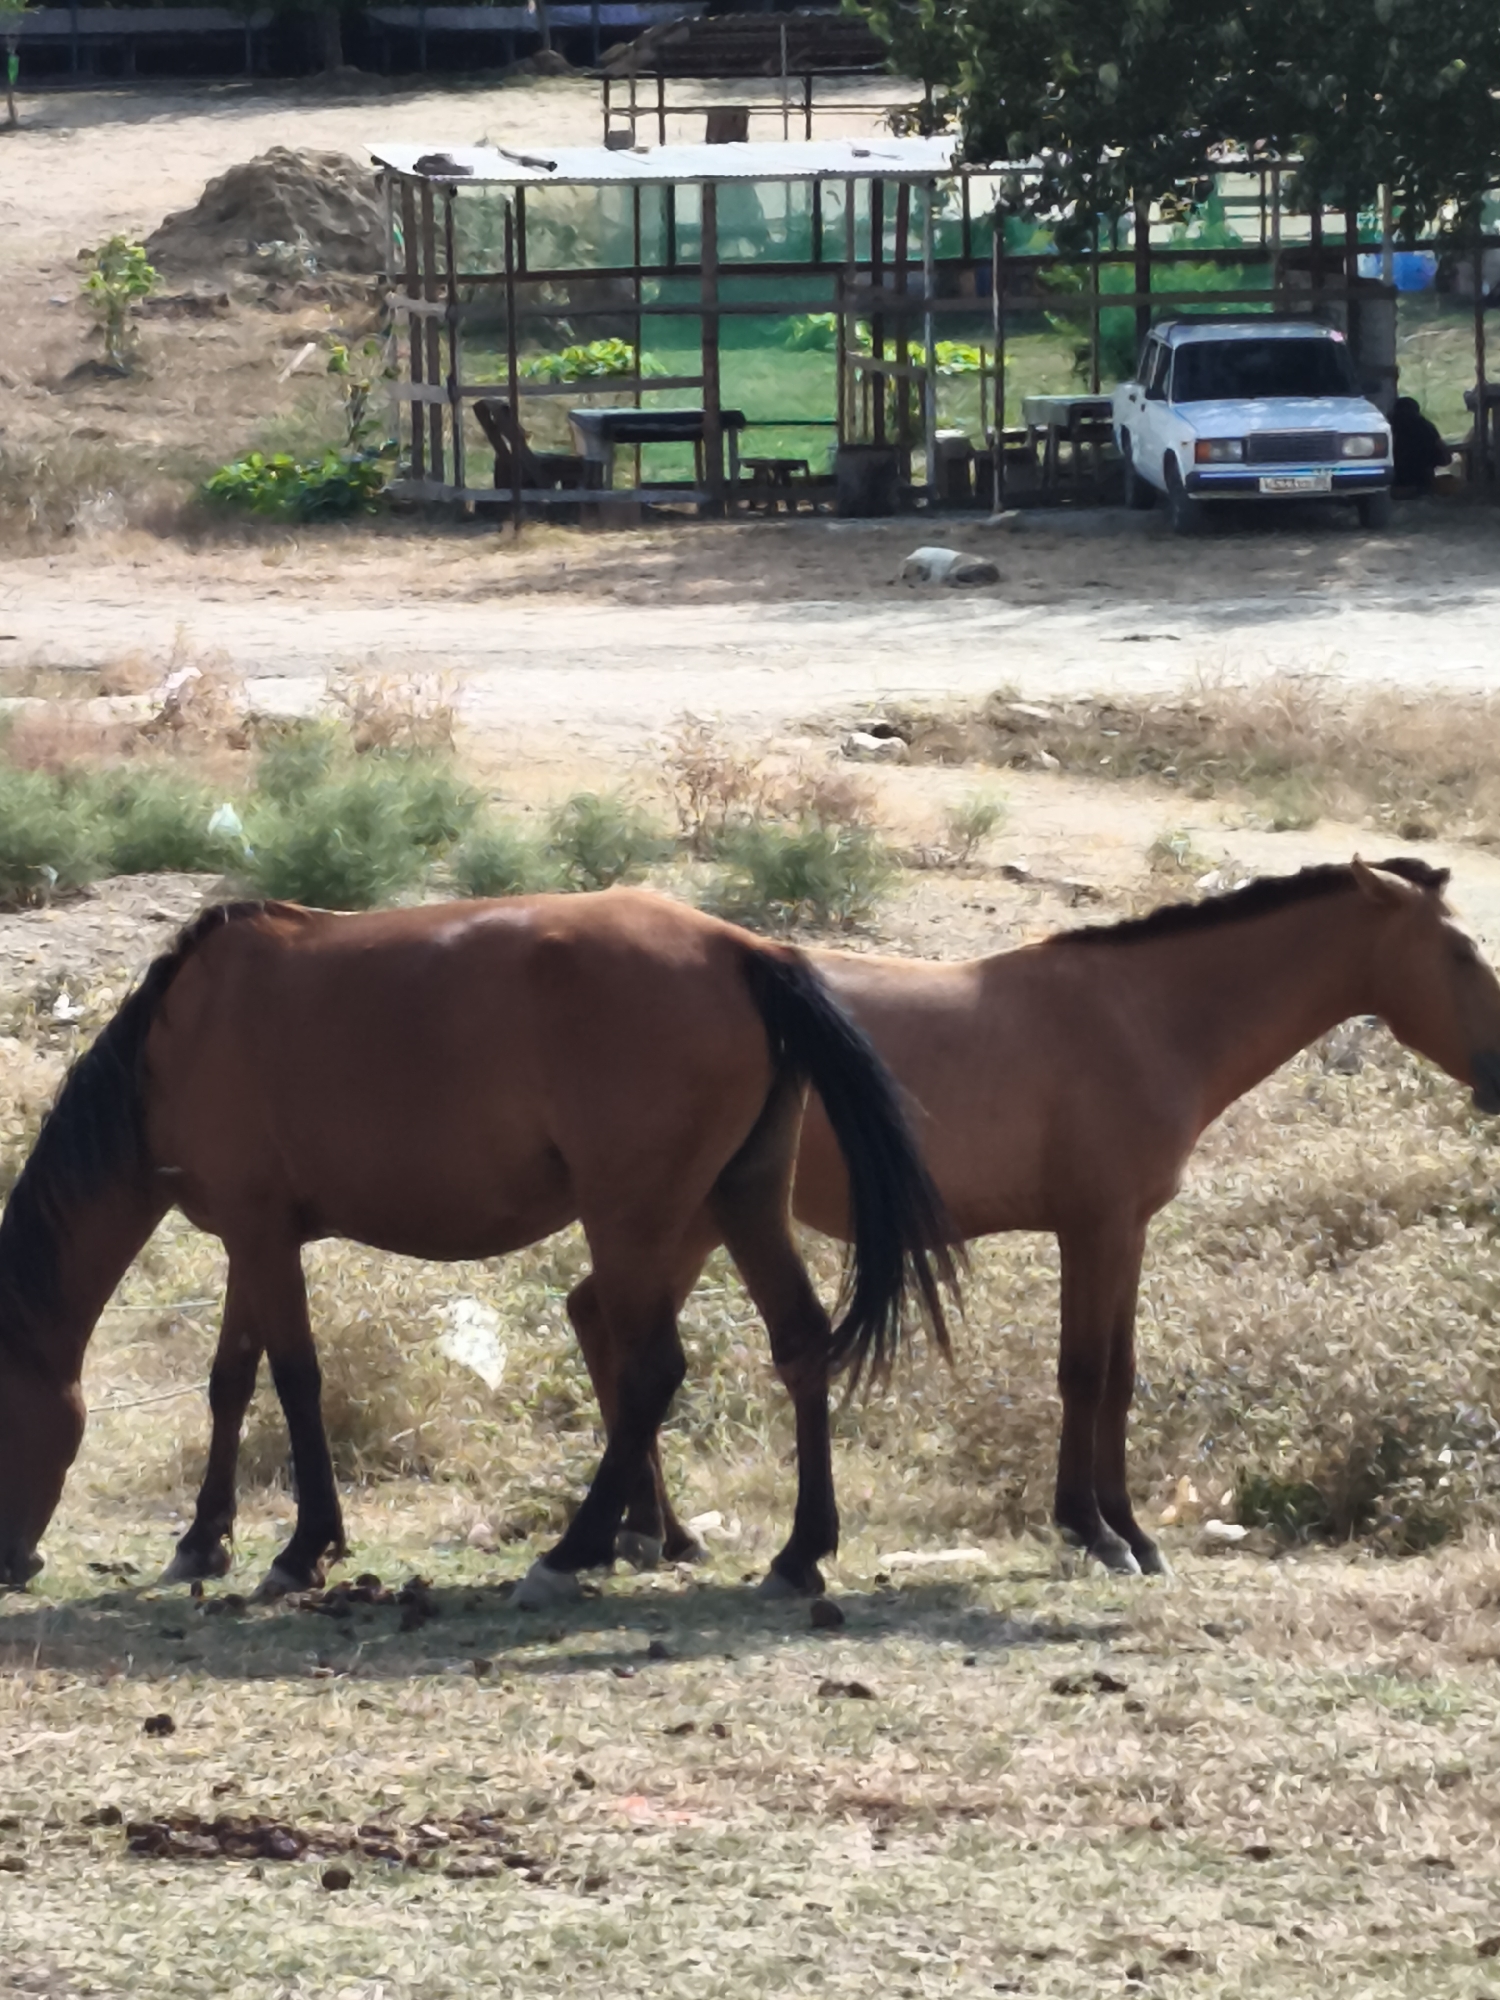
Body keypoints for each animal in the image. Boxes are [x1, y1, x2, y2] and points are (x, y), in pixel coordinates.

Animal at [0, 890, 958, 1600]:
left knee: (652, 1369)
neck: (181, 1040)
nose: (14, 1562)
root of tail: (743, 951)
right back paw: (799, 1553)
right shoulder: (251, 1237)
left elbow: (296, 1379)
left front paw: (304, 1549)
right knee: (798, 1344)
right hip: (743, 1197)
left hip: (633, 1218)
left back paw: (572, 1552)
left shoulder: (262, 1233)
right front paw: (204, 1541)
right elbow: (232, 1378)